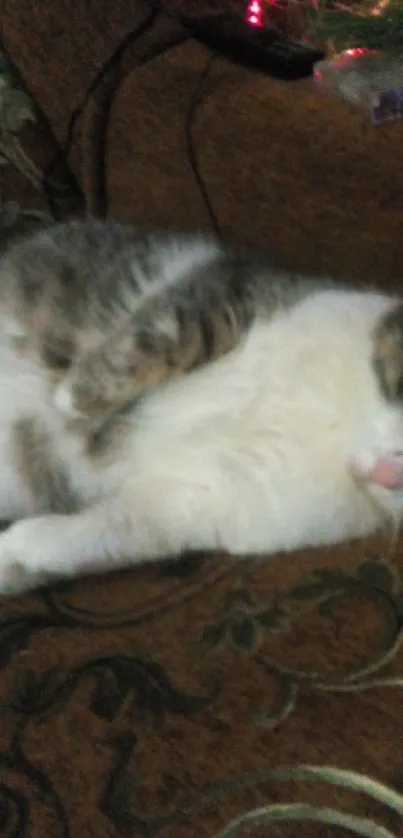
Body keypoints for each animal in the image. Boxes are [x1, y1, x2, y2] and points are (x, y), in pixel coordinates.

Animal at [0, 213, 402, 596]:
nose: (387, 473)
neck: (336, 428)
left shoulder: (197, 506)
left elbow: (105, 535)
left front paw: (20, 550)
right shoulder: (231, 293)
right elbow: (165, 338)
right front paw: (72, 399)